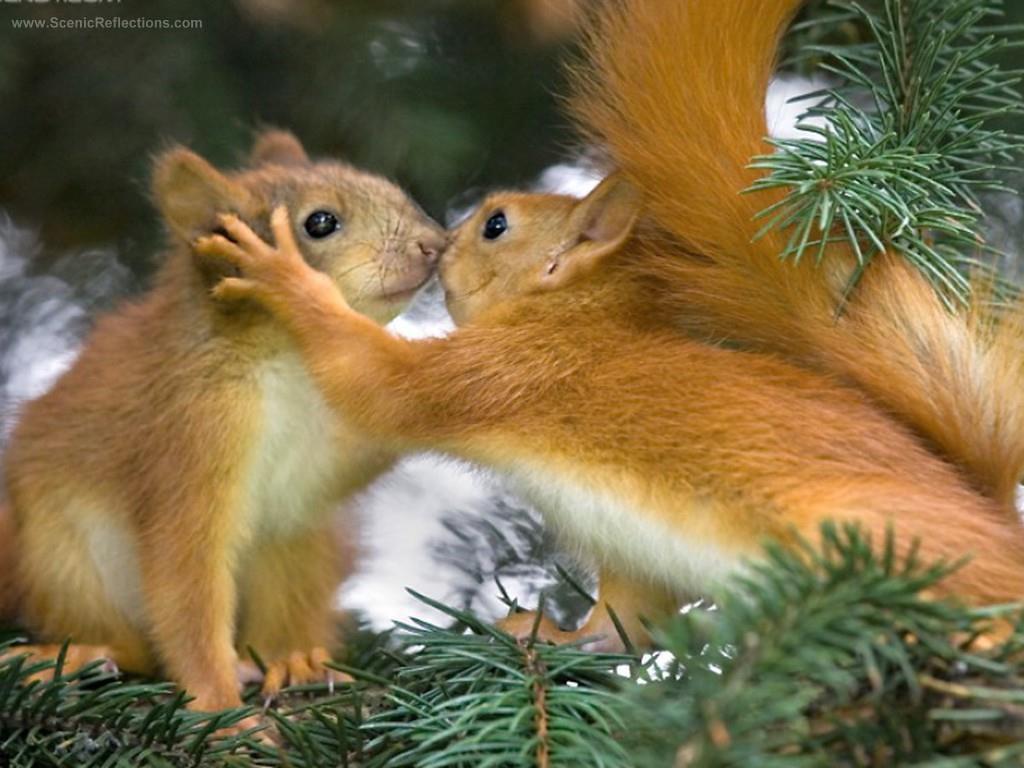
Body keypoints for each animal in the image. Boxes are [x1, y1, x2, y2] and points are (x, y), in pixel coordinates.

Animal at [1, 130, 445, 718]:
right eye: (320, 222)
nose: (436, 244)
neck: (290, 362)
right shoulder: (191, 434)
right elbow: (187, 583)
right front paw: (221, 712)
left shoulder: (319, 460)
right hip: (62, 561)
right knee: (132, 645)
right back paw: (75, 655)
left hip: (306, 546)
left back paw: (295, 660)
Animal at [195, 0, 1024, 650]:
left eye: (496, 225)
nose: (438, 242)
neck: (574, 319)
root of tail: (988, 514)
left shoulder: (501, 369)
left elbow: (378, 383)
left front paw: (284, 276)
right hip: (636, 556)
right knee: (624, 627)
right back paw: (552, 634)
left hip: (877, 536)